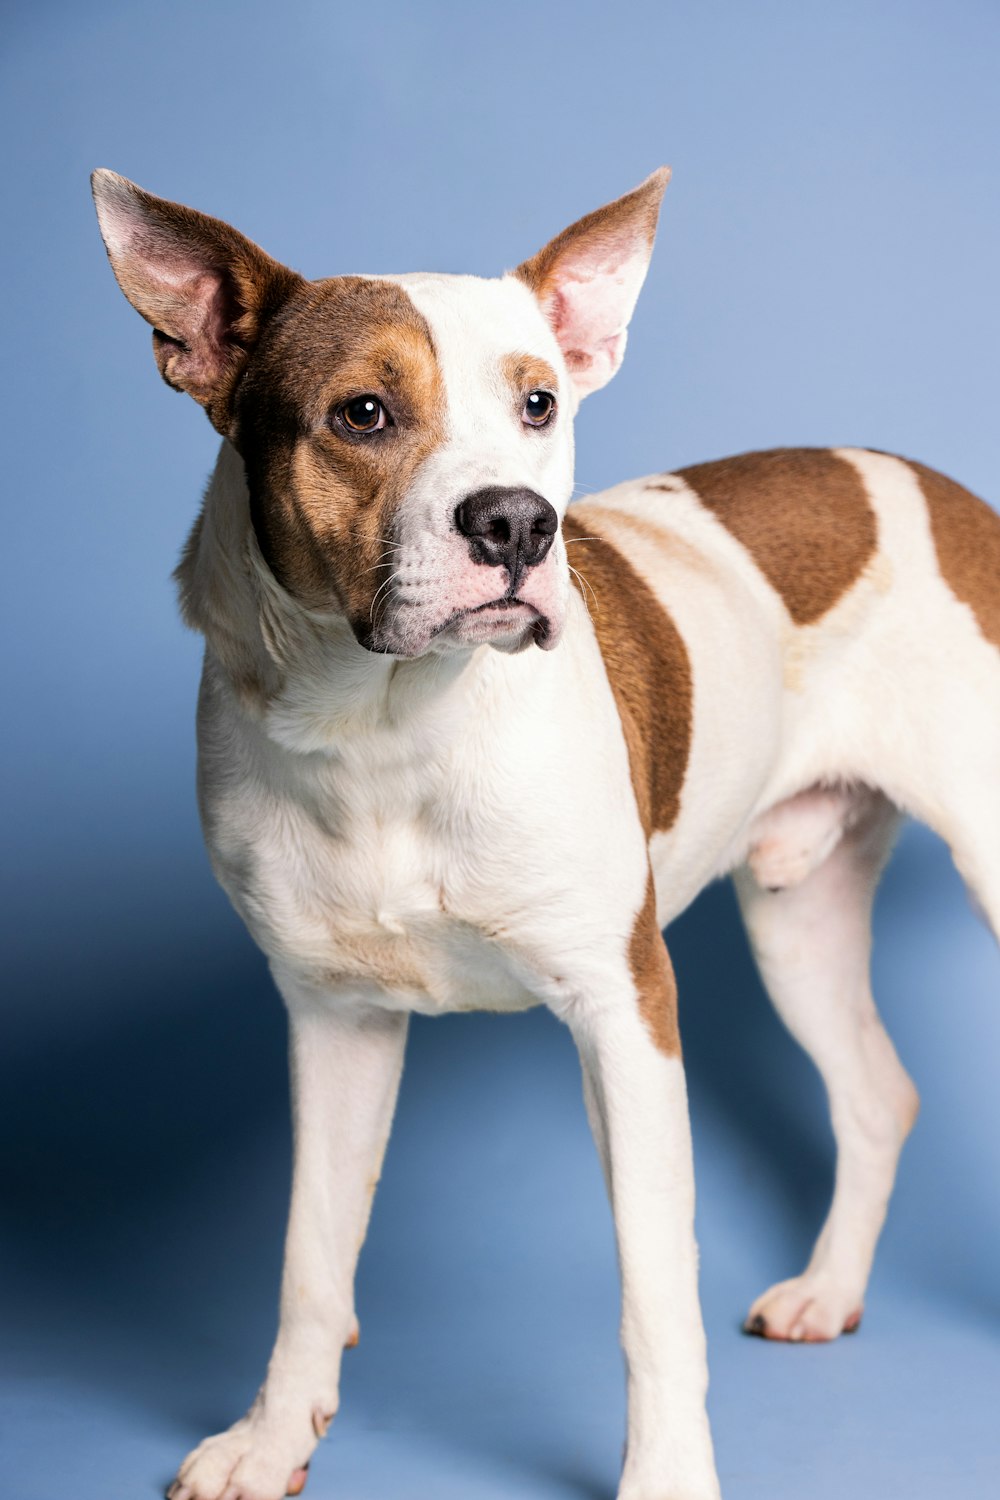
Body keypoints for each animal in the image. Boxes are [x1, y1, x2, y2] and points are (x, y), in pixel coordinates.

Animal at [91, 164, 995, 1500]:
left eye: (538, 404)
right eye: (361, 413)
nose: (516, 523)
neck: (387, 728)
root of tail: (943, 492)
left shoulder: (625, 1012)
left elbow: (653, 1291)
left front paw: (665, 1477)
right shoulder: (333, 1021)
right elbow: (311, 1255)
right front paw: (274, 1434)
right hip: (801, 916)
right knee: (877, 1094)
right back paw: (829, 1291)